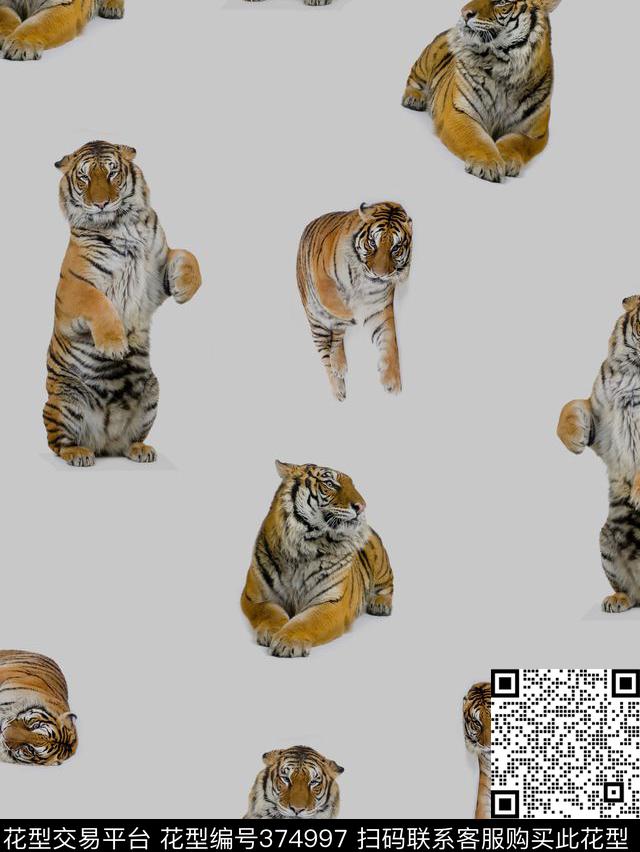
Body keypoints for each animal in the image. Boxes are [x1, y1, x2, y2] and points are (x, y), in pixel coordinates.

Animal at [43, 140, 202, 467]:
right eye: (84, 177)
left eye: (112, 173)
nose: (102, 204)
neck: (120, 224)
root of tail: (103, 441)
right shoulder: (73, 291)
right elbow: (98, 303)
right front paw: (114, 346)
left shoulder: (156, 273)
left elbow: (187, 255)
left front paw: (185, 288)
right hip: (64, 399)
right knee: (57, 443)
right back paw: (78, 454)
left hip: (152, 391)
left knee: (129, 440)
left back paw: (140, 449)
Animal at [241, 460, 394, 658]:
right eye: (329, 483)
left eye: (353, 485)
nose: (362, 506)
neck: (301, 550)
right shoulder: (254, 597)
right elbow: (269, 612)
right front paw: (272, 631)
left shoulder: (333, 602)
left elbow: (306, 621)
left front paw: (287, 641)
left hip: (381, 563)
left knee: (388, 586)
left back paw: (380, 605)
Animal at [297, 202, 412, 401]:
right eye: (372, 242)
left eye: (396, 248)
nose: (379, 274)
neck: (364, 281)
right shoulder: (322, 277)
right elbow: (332, 298)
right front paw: (351, 314)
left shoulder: (379, 308)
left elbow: (390, 341)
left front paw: (392, 382)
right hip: (316, 322)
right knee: (325, 356)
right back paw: (338, 390)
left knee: (336, 338)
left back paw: (340, 364)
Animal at [402, 1, 563, 182]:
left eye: (502, 2)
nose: (464, 12)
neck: (505, 71)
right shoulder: (458, 113)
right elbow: (477, 138)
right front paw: (489, 164)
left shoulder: (535, 134)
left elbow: (516, 142)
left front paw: (506, 159)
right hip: (426, 61)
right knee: (413, 79)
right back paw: (414, 99)